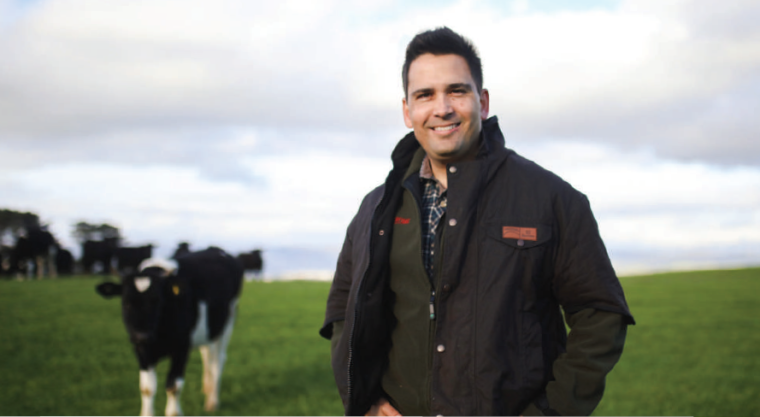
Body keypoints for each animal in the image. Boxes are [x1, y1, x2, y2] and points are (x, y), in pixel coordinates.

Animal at [96, 247, 243, 416]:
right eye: (126, 302)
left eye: (158, 301)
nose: (142, 336)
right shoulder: (141, 350)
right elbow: (147, 388)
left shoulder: (181, 348)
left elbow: (173, 386)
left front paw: (174, 412)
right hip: (208, 330)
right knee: (207, 356)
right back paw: (207, 388)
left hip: (228, 322)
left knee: (218, 361)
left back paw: (212, 402)